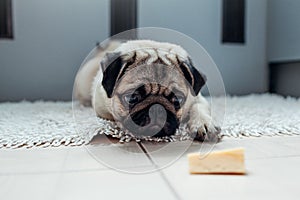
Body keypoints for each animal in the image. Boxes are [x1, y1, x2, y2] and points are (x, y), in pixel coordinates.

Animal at [75, 39, 220, 141]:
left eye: (178, 100)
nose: (156, 108)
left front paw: (204, 124)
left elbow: (199, 108)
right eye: (132, 98)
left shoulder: (197, 98)